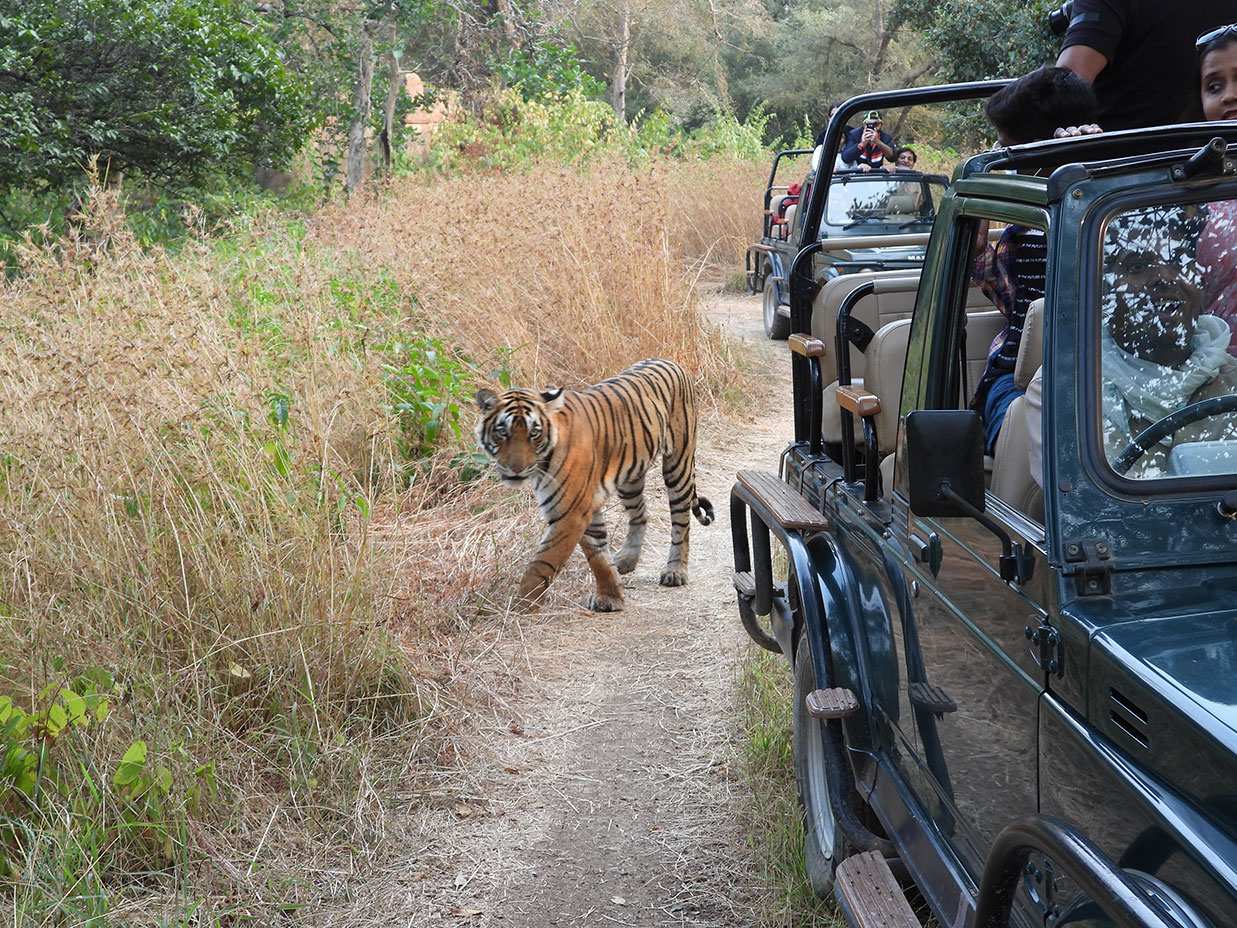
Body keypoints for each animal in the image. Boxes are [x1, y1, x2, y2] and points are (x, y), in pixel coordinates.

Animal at [477, 358, 722, 613]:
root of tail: (670, 361)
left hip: (678, 464)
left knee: (681, 521)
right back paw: (627, 560)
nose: (515, 468)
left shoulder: (570, 512)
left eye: (534, 433)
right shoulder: (584, 505)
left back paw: (675, 571)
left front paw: (521, 607)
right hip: (630, 476)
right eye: (502, 432)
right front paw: (611, 597)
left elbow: (542, 563)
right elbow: (598, 556)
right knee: (640, 513)